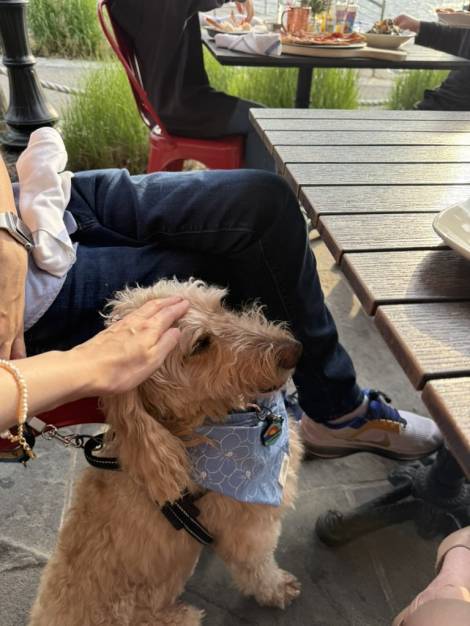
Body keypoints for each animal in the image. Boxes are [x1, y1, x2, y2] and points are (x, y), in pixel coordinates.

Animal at [29, 279, 304, 626]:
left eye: (221, 306)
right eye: (200, 344)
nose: (295, 349)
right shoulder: (250, 529)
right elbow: (259, 567)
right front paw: (278, 589)